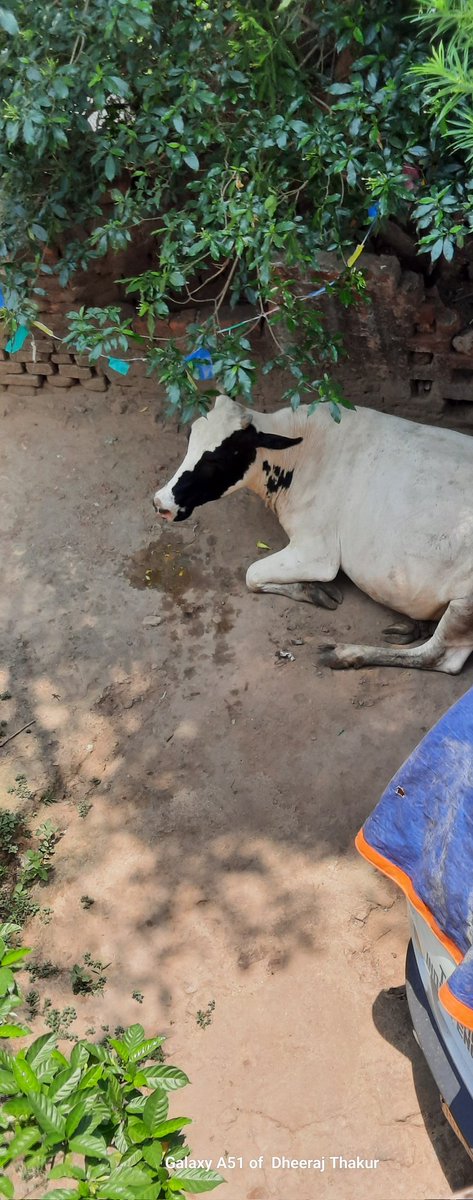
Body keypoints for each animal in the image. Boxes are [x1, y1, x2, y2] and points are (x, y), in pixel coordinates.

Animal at [153, 394, 473, 674]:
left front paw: (313, 590)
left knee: (440, 657)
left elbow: (252, 575)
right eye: (190, 437)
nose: (161, 503)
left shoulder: (318, 553)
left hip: (464, 603)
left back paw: (346, 653)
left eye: (216, 459)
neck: (301, 454)